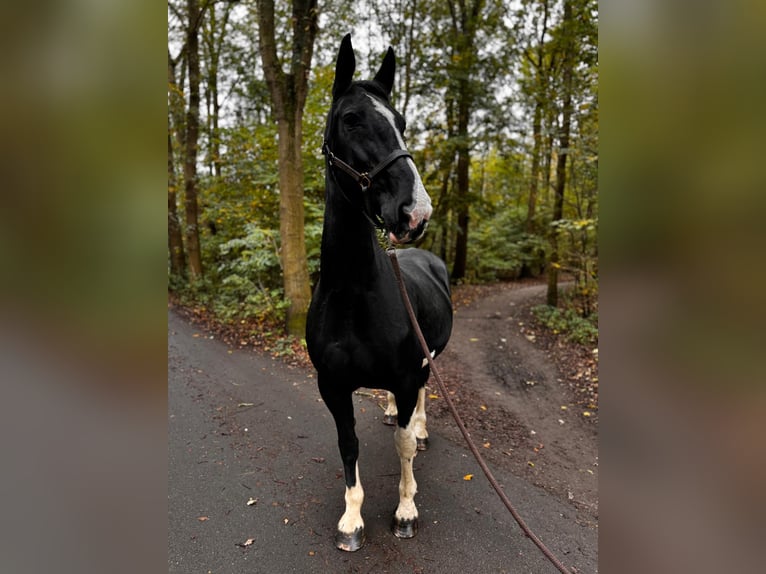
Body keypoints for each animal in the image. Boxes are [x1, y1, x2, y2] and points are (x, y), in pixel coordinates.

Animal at [304, 35, 452, 552]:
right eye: (351, 118)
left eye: (402, 123)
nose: (415, 212)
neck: (353, 296)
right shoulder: (331, 385)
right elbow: (348, 444)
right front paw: (352, 519)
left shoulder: (408, 376)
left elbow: (404, 445)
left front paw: (406, 510)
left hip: (428, 360)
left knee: (424, 398)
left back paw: (421, 428)